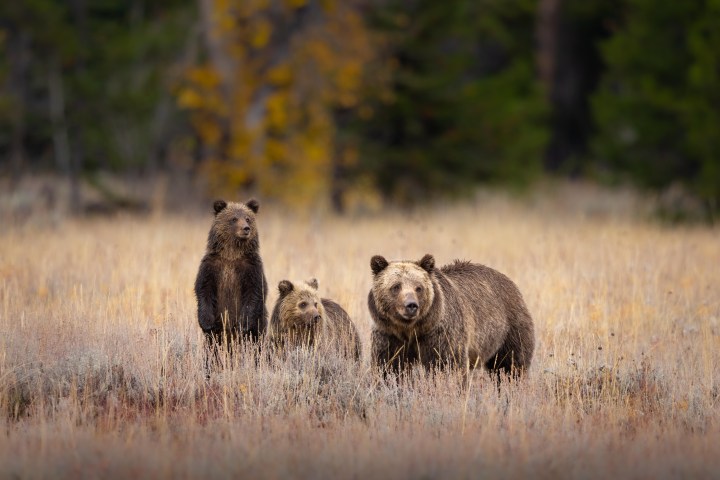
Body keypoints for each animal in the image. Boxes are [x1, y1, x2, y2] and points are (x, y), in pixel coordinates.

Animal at [194, 199, 268, 356]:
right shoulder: (212, 267)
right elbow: (203, 290)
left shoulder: (251, 268)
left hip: (258, 328)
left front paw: (243, 324)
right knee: (212, 351)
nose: (246, 228)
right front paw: (206, 323)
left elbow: (254, 292)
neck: (232, 254)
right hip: (216, 338)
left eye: (248, 218)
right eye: (233, 219)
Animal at [368, 254, 534, 378]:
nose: (411, 305)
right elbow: (390, 368)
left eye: (419, 288)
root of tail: (509, 281)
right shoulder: (389, 335)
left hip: (508, 330)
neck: (411, 329)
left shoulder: (441, 335)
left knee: (510, 366)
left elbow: (447, 366)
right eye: (396, 286)